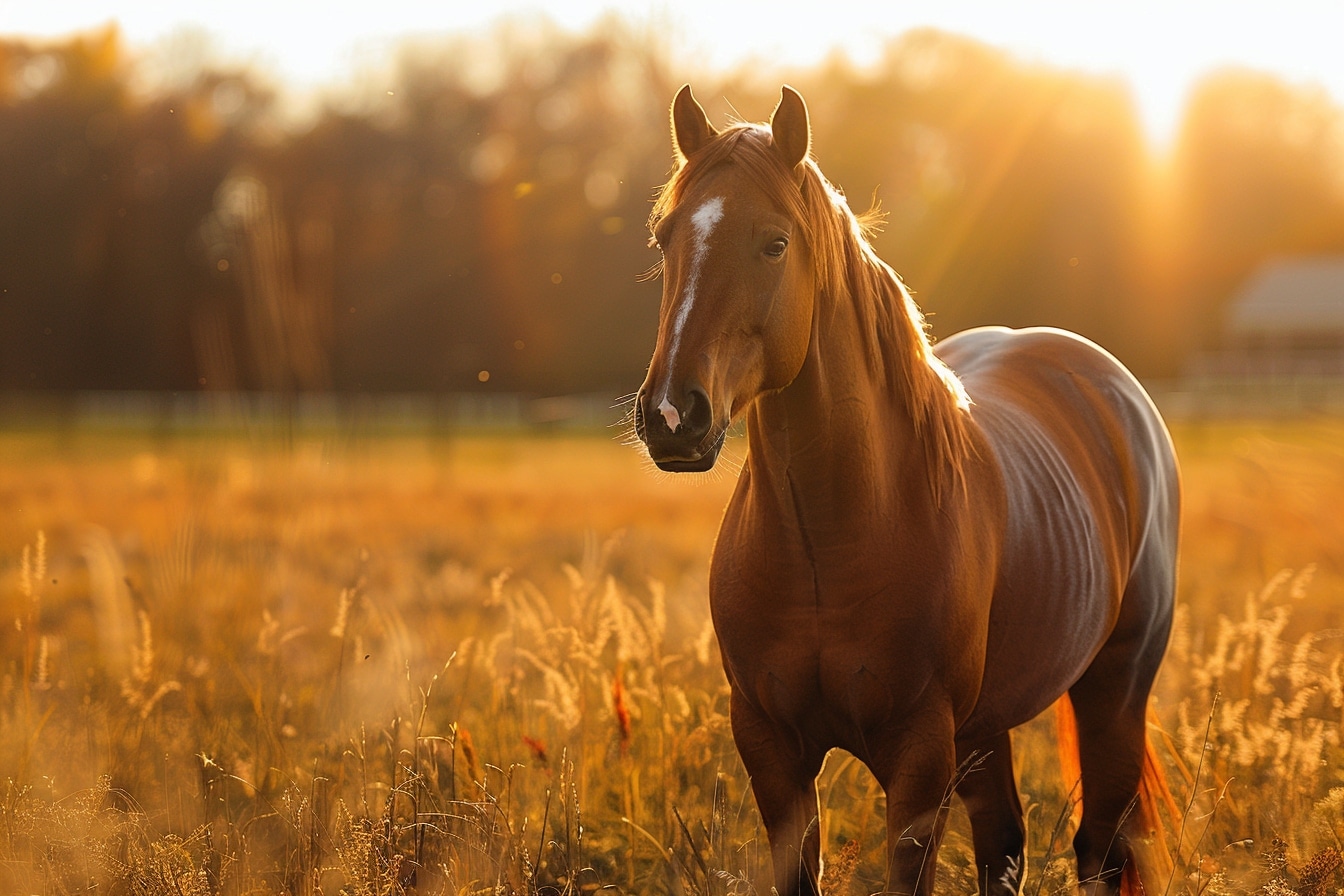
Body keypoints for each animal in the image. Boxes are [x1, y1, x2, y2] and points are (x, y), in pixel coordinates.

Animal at [634, 85, 1182, 896]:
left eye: (774, 243)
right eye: (665, 238)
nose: (674, 416)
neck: (828, 542)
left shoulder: (921, 759)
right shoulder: (770, 750)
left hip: (1113, 693)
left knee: (1100, 851)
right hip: (987, 728)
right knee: (1004, 844)